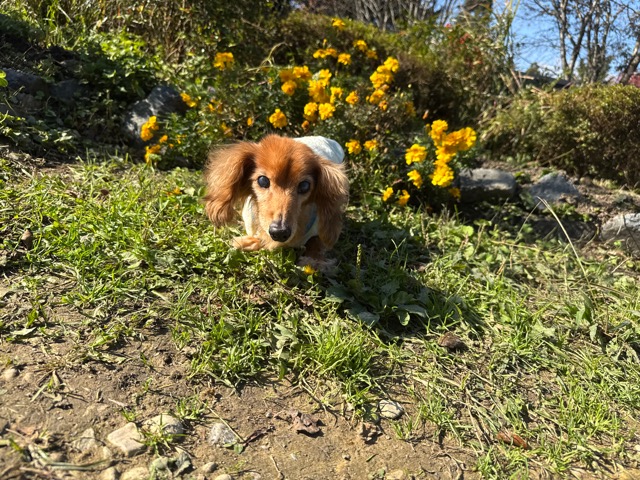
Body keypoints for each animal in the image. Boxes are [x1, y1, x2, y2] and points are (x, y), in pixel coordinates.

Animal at [203, 134, 349, 266]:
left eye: (304, 186)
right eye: (263, 180)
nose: (279, 232)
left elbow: (316, 241)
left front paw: (313, 260)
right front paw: (248, 241)